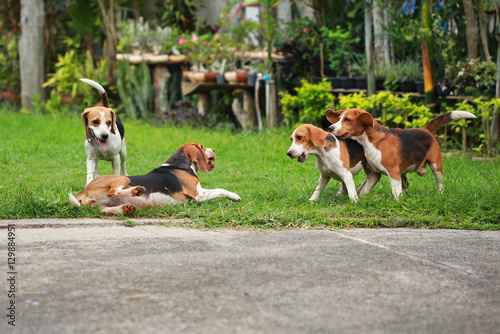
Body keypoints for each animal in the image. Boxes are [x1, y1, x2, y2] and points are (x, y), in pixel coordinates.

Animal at [70, 143, 242, 215]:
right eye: (202, 146)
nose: (213, 149)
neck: (178, 164)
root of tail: (84, 190)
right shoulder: (199, 194)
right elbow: (221, 190)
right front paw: (235, 196)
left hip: (99, 206)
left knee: (106, 209)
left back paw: (125, 209)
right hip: (122, 178)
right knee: (113, 191)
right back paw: (137, 190)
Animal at [328, 108, 476, 200]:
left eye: (347, 119)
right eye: (339, 118)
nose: (330, 127)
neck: (369, 140)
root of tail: (426, 130)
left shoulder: (393, 172)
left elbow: (396, 191)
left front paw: (398, 202)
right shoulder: (374, 174)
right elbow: (365, 190)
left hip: (436, 165)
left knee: (439, 183)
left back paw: (439, 194)